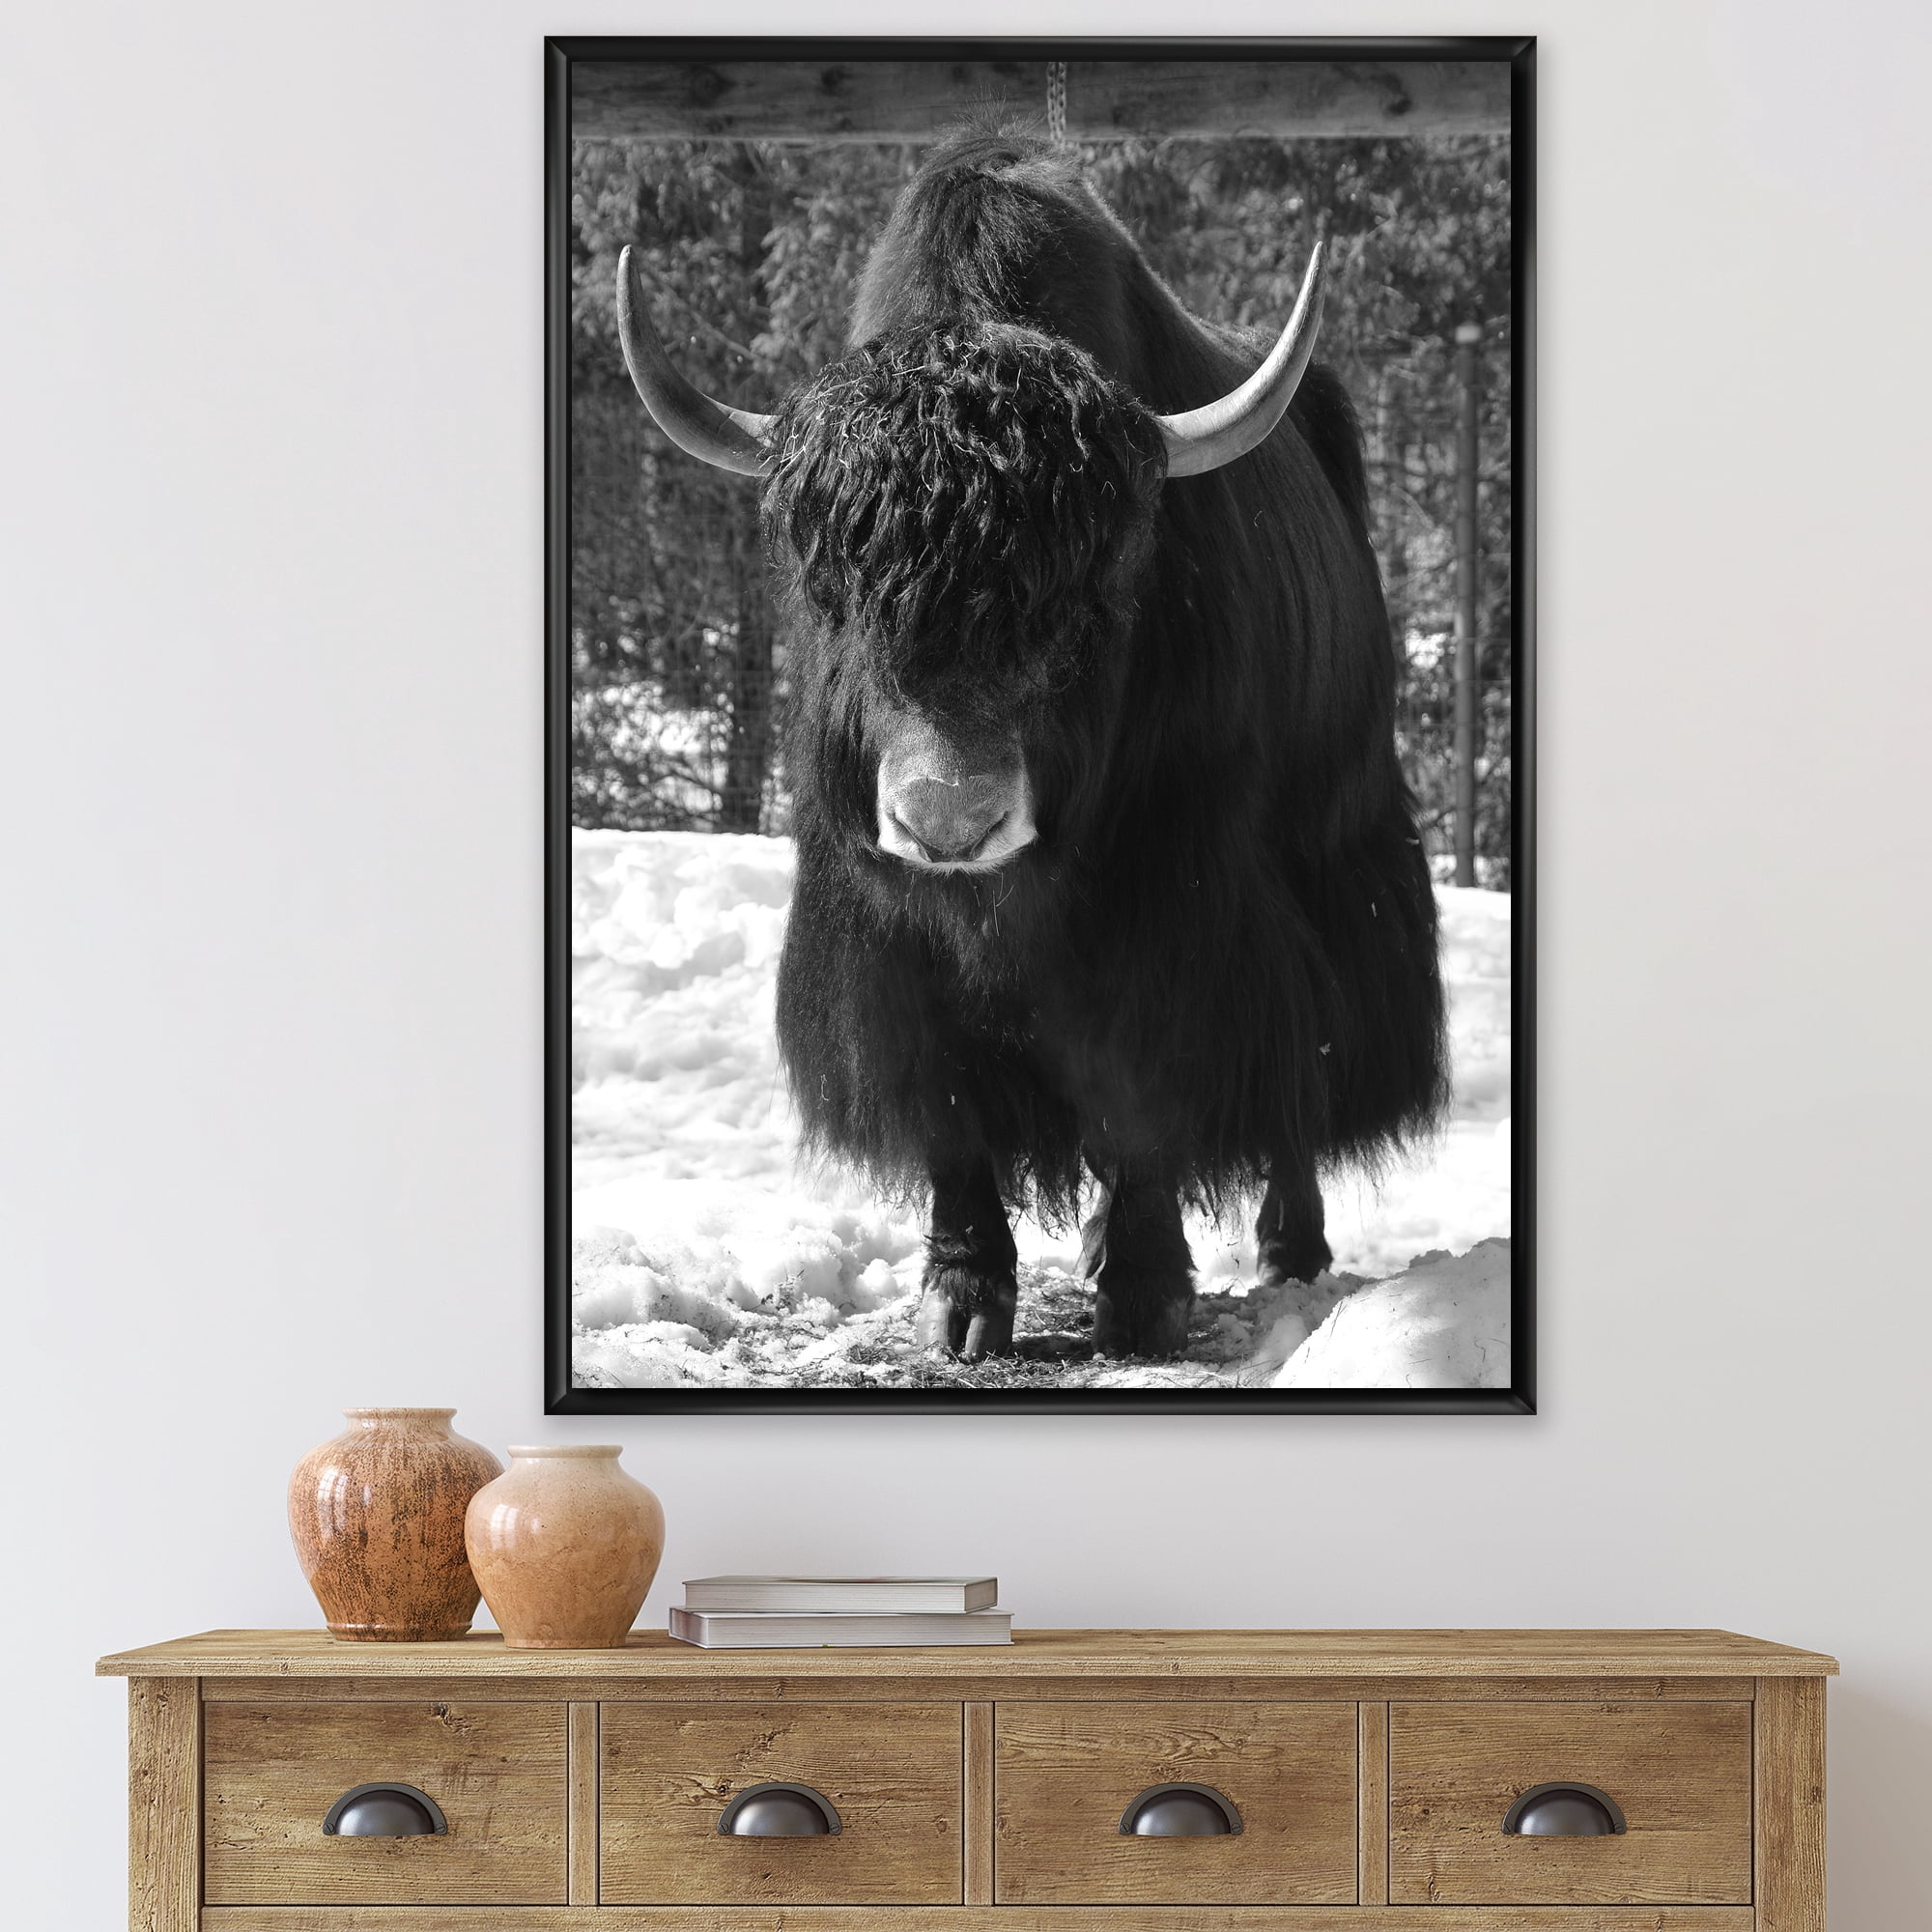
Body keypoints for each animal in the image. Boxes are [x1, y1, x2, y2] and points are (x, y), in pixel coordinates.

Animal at [614, 127, 1448, 1362]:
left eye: (1085, 599)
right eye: (836, 591)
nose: (948, 822)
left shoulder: (1174, 911)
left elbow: (1143, 1088)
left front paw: (1142, 1298)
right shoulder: (881, 939)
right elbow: (947, 1106)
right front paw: (961, 1300)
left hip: (1334, 856)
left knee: (1302, 1064)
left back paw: (1287, 1248)